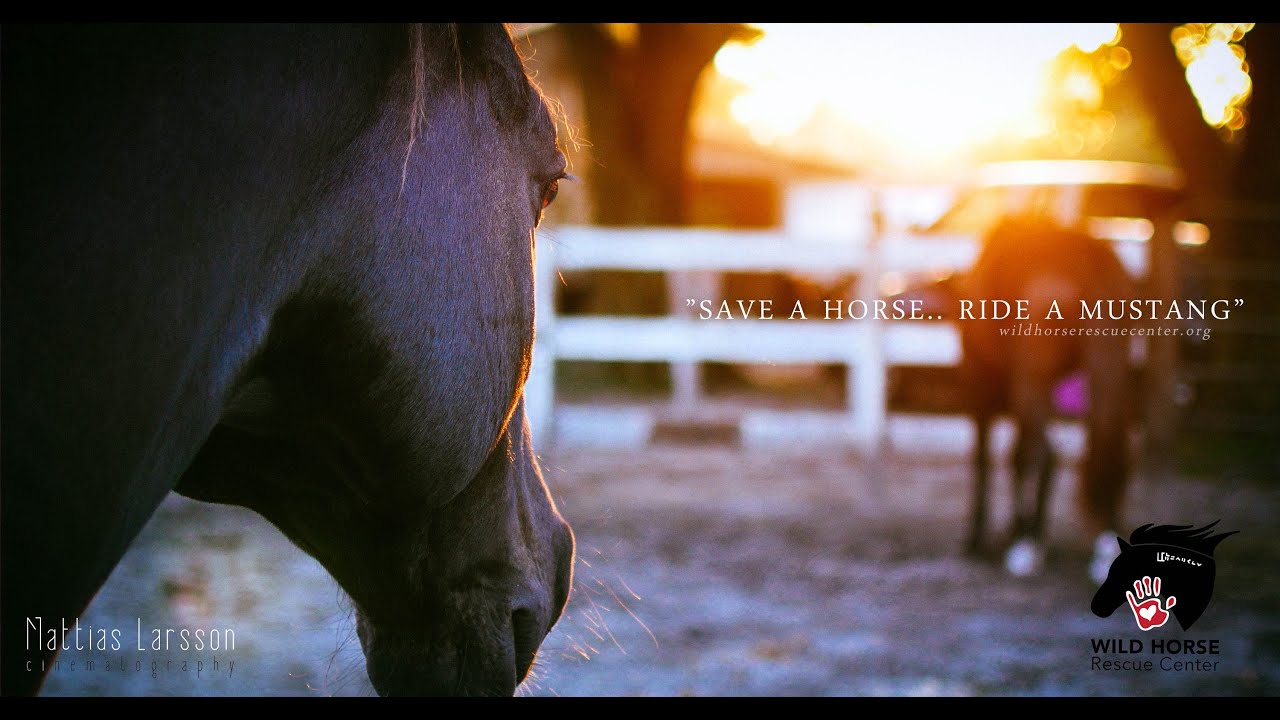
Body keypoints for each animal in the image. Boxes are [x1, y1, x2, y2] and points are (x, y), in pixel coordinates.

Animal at [954, 215, 1136, 582]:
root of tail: (1086, 260)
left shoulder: (980, 387)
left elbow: (987, 459)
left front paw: (984, 536)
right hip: (1109, 369)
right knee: (1110, 446)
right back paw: (1104, 545)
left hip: (1032, 378)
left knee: (1039, 451)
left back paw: (1025, 547)